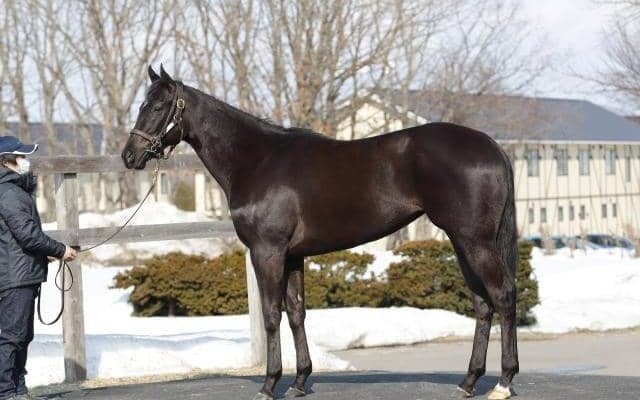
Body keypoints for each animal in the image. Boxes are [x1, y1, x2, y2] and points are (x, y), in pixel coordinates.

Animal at [122, 65, 519, 400]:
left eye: (158, 106)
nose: (129, 155)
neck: (257, 160)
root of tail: (494, 147)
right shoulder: (293, 255)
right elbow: (296, 313)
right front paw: (299, 381)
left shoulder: (267, 252)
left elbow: (271, 315)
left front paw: (269, 385)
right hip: (461, 242)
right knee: (482, 304)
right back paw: (469, 381)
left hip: (475, 242)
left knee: (502, 296)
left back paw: (503, 382)